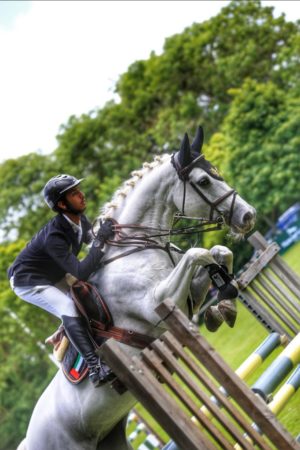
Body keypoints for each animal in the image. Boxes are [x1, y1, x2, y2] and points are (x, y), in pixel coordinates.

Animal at [17, 127, 254, 450]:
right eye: (204, 181)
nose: (248, 216)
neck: (137, 247)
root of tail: (27, 440)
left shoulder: (183, 297)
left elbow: (218, 252)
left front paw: (223, 306)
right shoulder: (159, 302)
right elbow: (198, 254)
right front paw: (223, 299)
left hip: (112, 436)